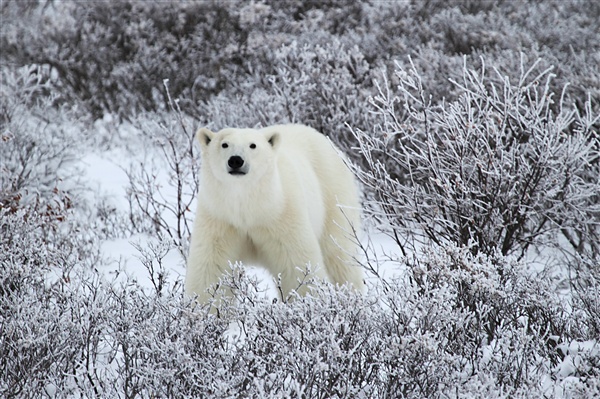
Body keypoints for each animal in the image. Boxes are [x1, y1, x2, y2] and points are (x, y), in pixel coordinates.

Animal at [185, 125, 364, 304]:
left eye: (253, 145)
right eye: (224, 144)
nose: (236, 160)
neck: (249, 209)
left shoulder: (282, 215)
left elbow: (296, 263)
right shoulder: (219, 218)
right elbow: (211, 267)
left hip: (333, 194)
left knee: (338, 254)